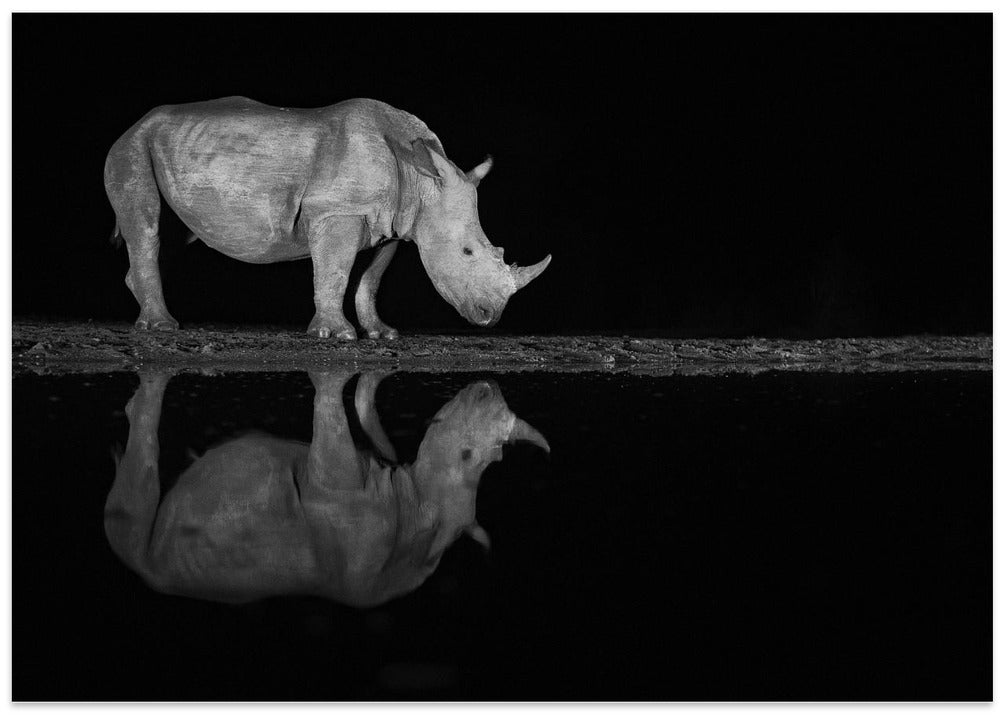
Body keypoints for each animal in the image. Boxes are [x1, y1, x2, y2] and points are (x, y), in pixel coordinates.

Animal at [103, 96, 552, 339]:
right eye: (467, 252)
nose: (491, 317)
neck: (420, 179)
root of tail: (133, 125)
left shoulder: (393, 224)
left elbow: (370, 279)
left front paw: (382, 333)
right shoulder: (337, 209)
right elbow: (334, 272)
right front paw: (336, 335)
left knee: (174, 235)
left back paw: (149, 316)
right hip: (130, 147)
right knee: (148, 227)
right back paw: (162, 327)